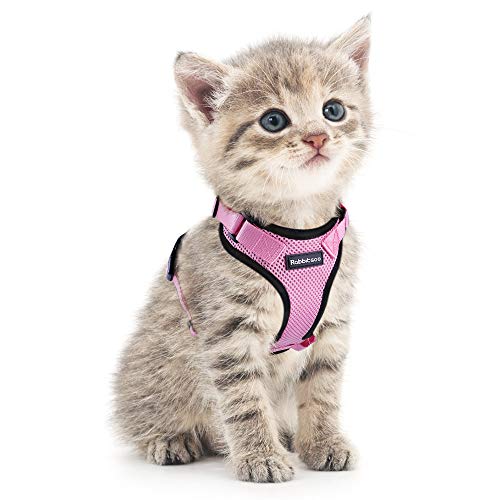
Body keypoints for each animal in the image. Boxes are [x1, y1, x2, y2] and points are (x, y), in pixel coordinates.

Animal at [113, 16, 372, 482]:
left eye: (334, 110)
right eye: (273, 120)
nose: (317, 137)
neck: (297, 228)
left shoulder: (332, 325)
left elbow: (322, 391)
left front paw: (322, 442)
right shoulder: (228, 332)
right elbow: (244, 399)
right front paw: (260, 456)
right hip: (151, 371)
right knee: (144, 414)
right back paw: (169, 438)